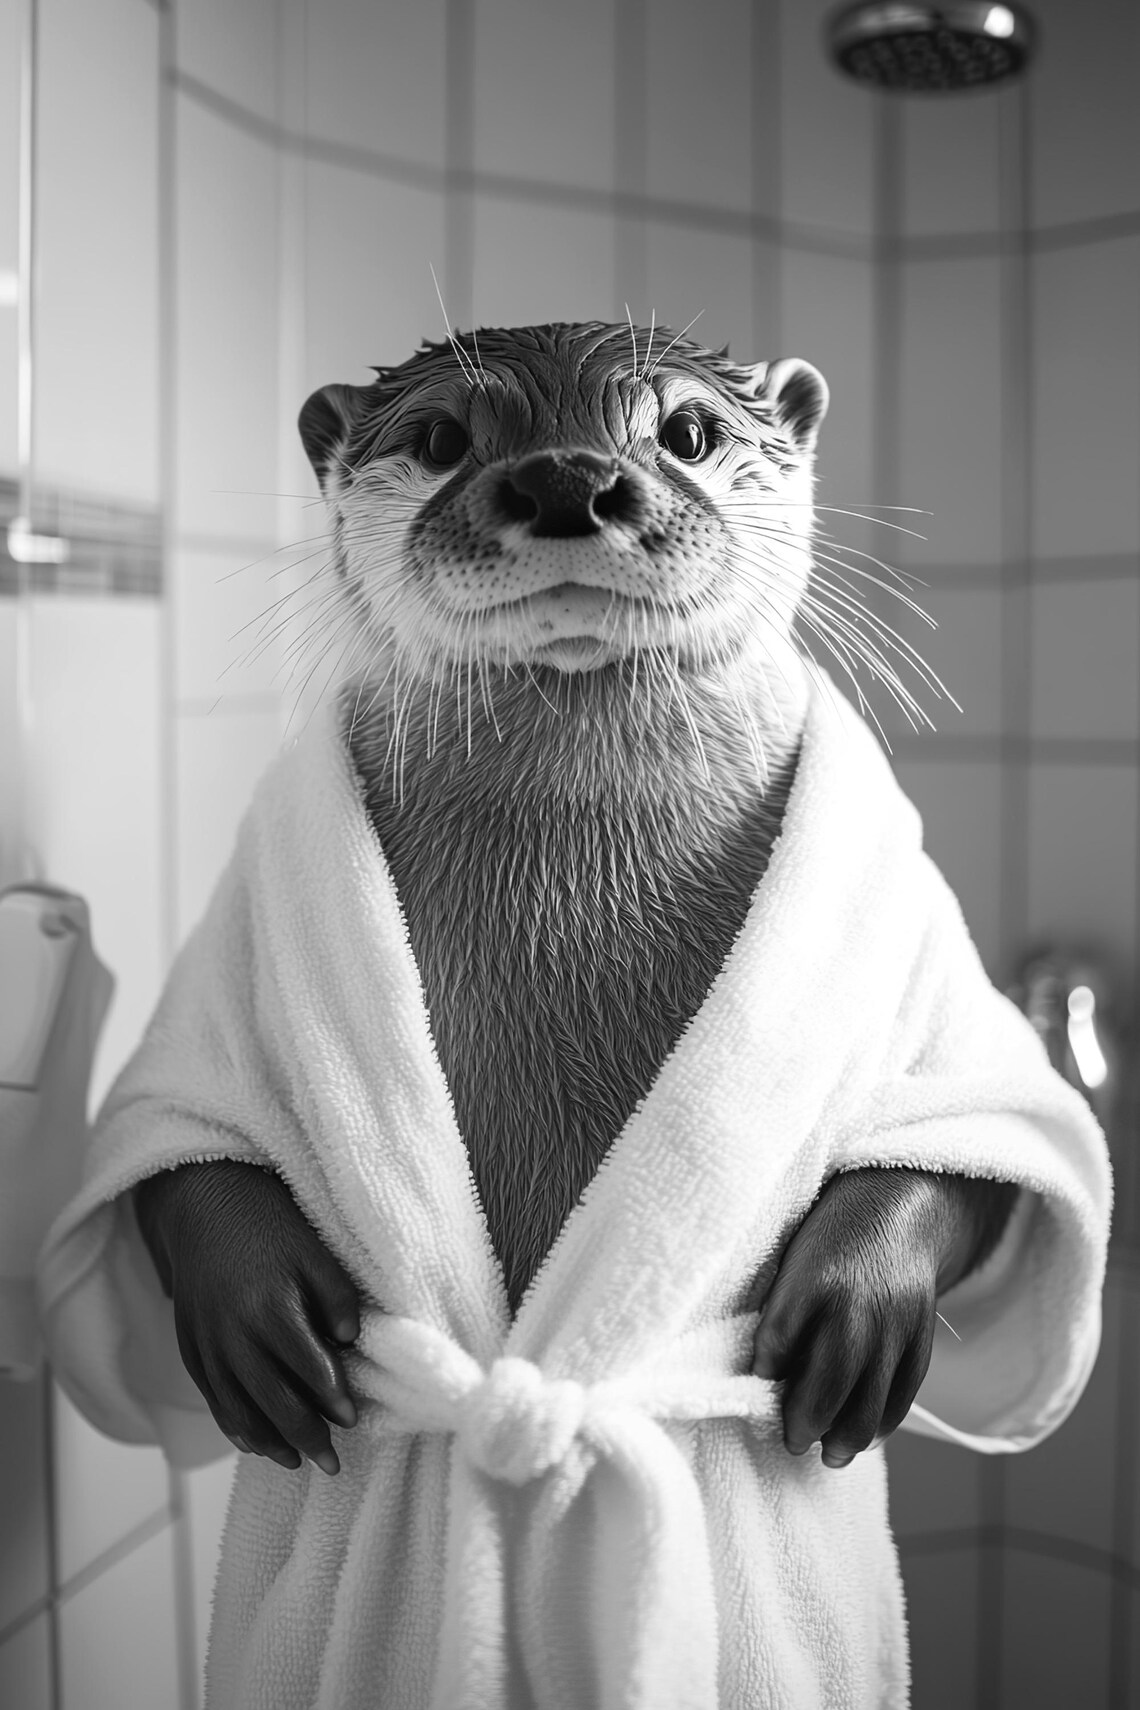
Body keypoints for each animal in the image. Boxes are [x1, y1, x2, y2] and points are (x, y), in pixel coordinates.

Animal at [134, 322, 1016, 1479]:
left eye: (689, 433)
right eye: (440, 438)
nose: (565, 477)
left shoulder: (929, 970)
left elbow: (971, 1137)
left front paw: (861, 1296)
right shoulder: (225, 960)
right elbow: (184, 1137)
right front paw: (250, 1302)